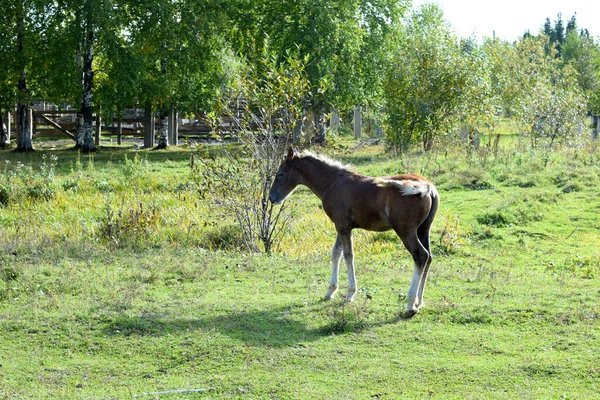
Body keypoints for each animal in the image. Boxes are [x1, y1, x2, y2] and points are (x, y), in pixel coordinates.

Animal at [270, 147, 438, 316]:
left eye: (281, 173)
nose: (272, 198)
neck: (332, 183)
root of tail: (428, 186)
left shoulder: (343, 226)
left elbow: (348, 255)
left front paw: (350, 293)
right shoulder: (341, 226)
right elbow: (335, 254)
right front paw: (330, 291)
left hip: (405, 231)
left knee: (421, 256)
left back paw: (410, 304)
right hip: (423, 229)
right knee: (429, 257)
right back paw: (419, 302)